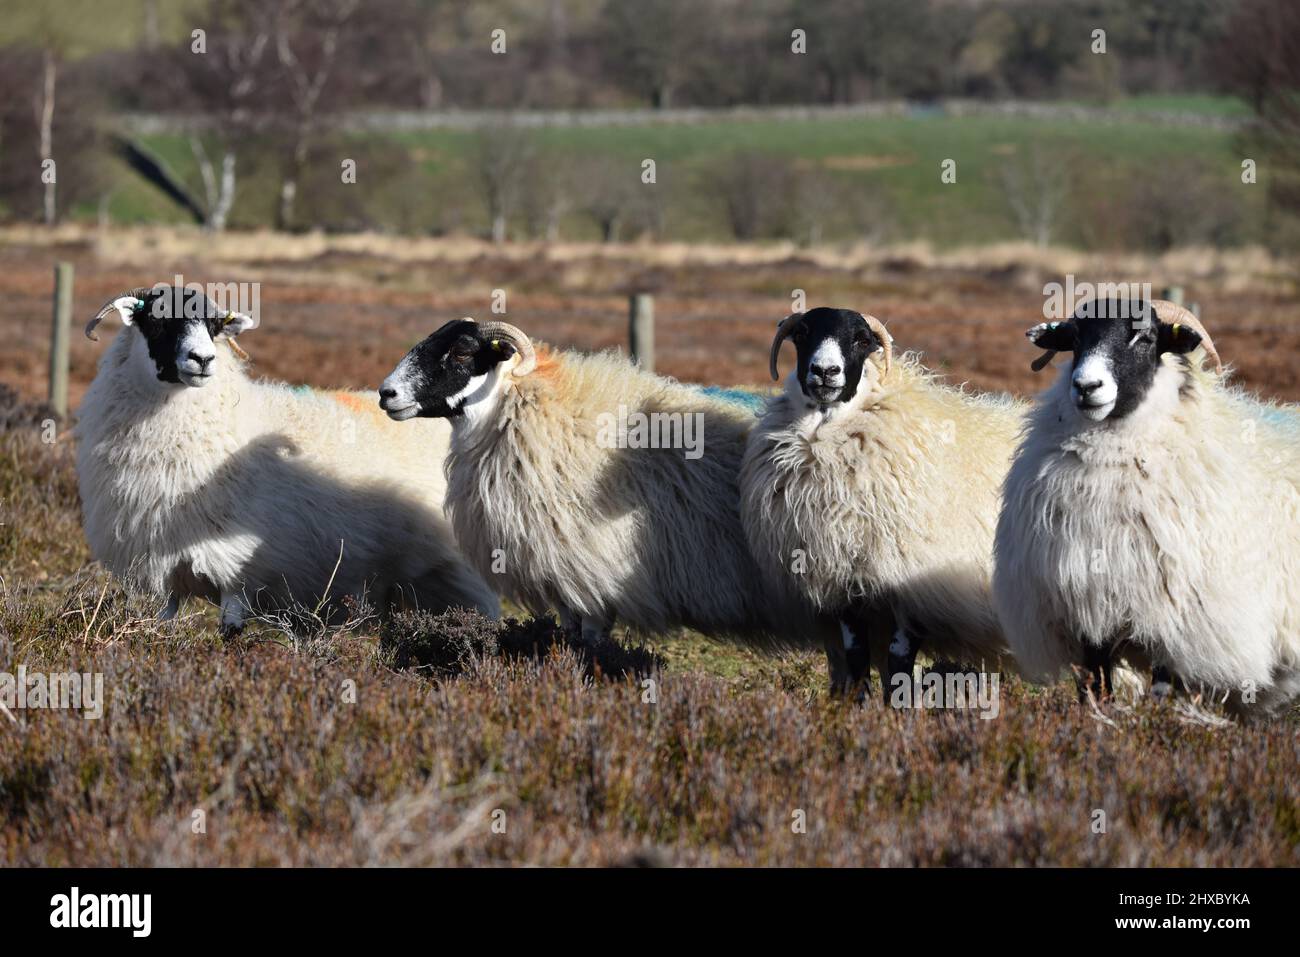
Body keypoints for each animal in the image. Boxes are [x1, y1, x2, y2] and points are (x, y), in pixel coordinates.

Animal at [77, 284, 498, 637]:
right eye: (158, 320)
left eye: (214, 326)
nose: (204, 359)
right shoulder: (167, 570)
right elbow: (164, 626)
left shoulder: (238, 566)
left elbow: (229, 633)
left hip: (463, 575)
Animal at [377, 317, 813, 651]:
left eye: (463, 352)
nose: (386, 393)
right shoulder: (563, 575)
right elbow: (569, 636)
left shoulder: (597, 574)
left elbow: (591, 644)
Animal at [739, 307, 1025, 697]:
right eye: (803, 334)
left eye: (861, 340)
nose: (825, 371)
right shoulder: (843, 583)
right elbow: (857, 656)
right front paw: (859, 707)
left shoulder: (914, 587)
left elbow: (899, 661)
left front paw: (898, 709)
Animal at [993, 297, 1300, 715]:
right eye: (1075, 338)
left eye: (1147, 337)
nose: (1086, 386)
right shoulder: (1085, 612)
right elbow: (1095, 689)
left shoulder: (1172, 623)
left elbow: (1160, 689)